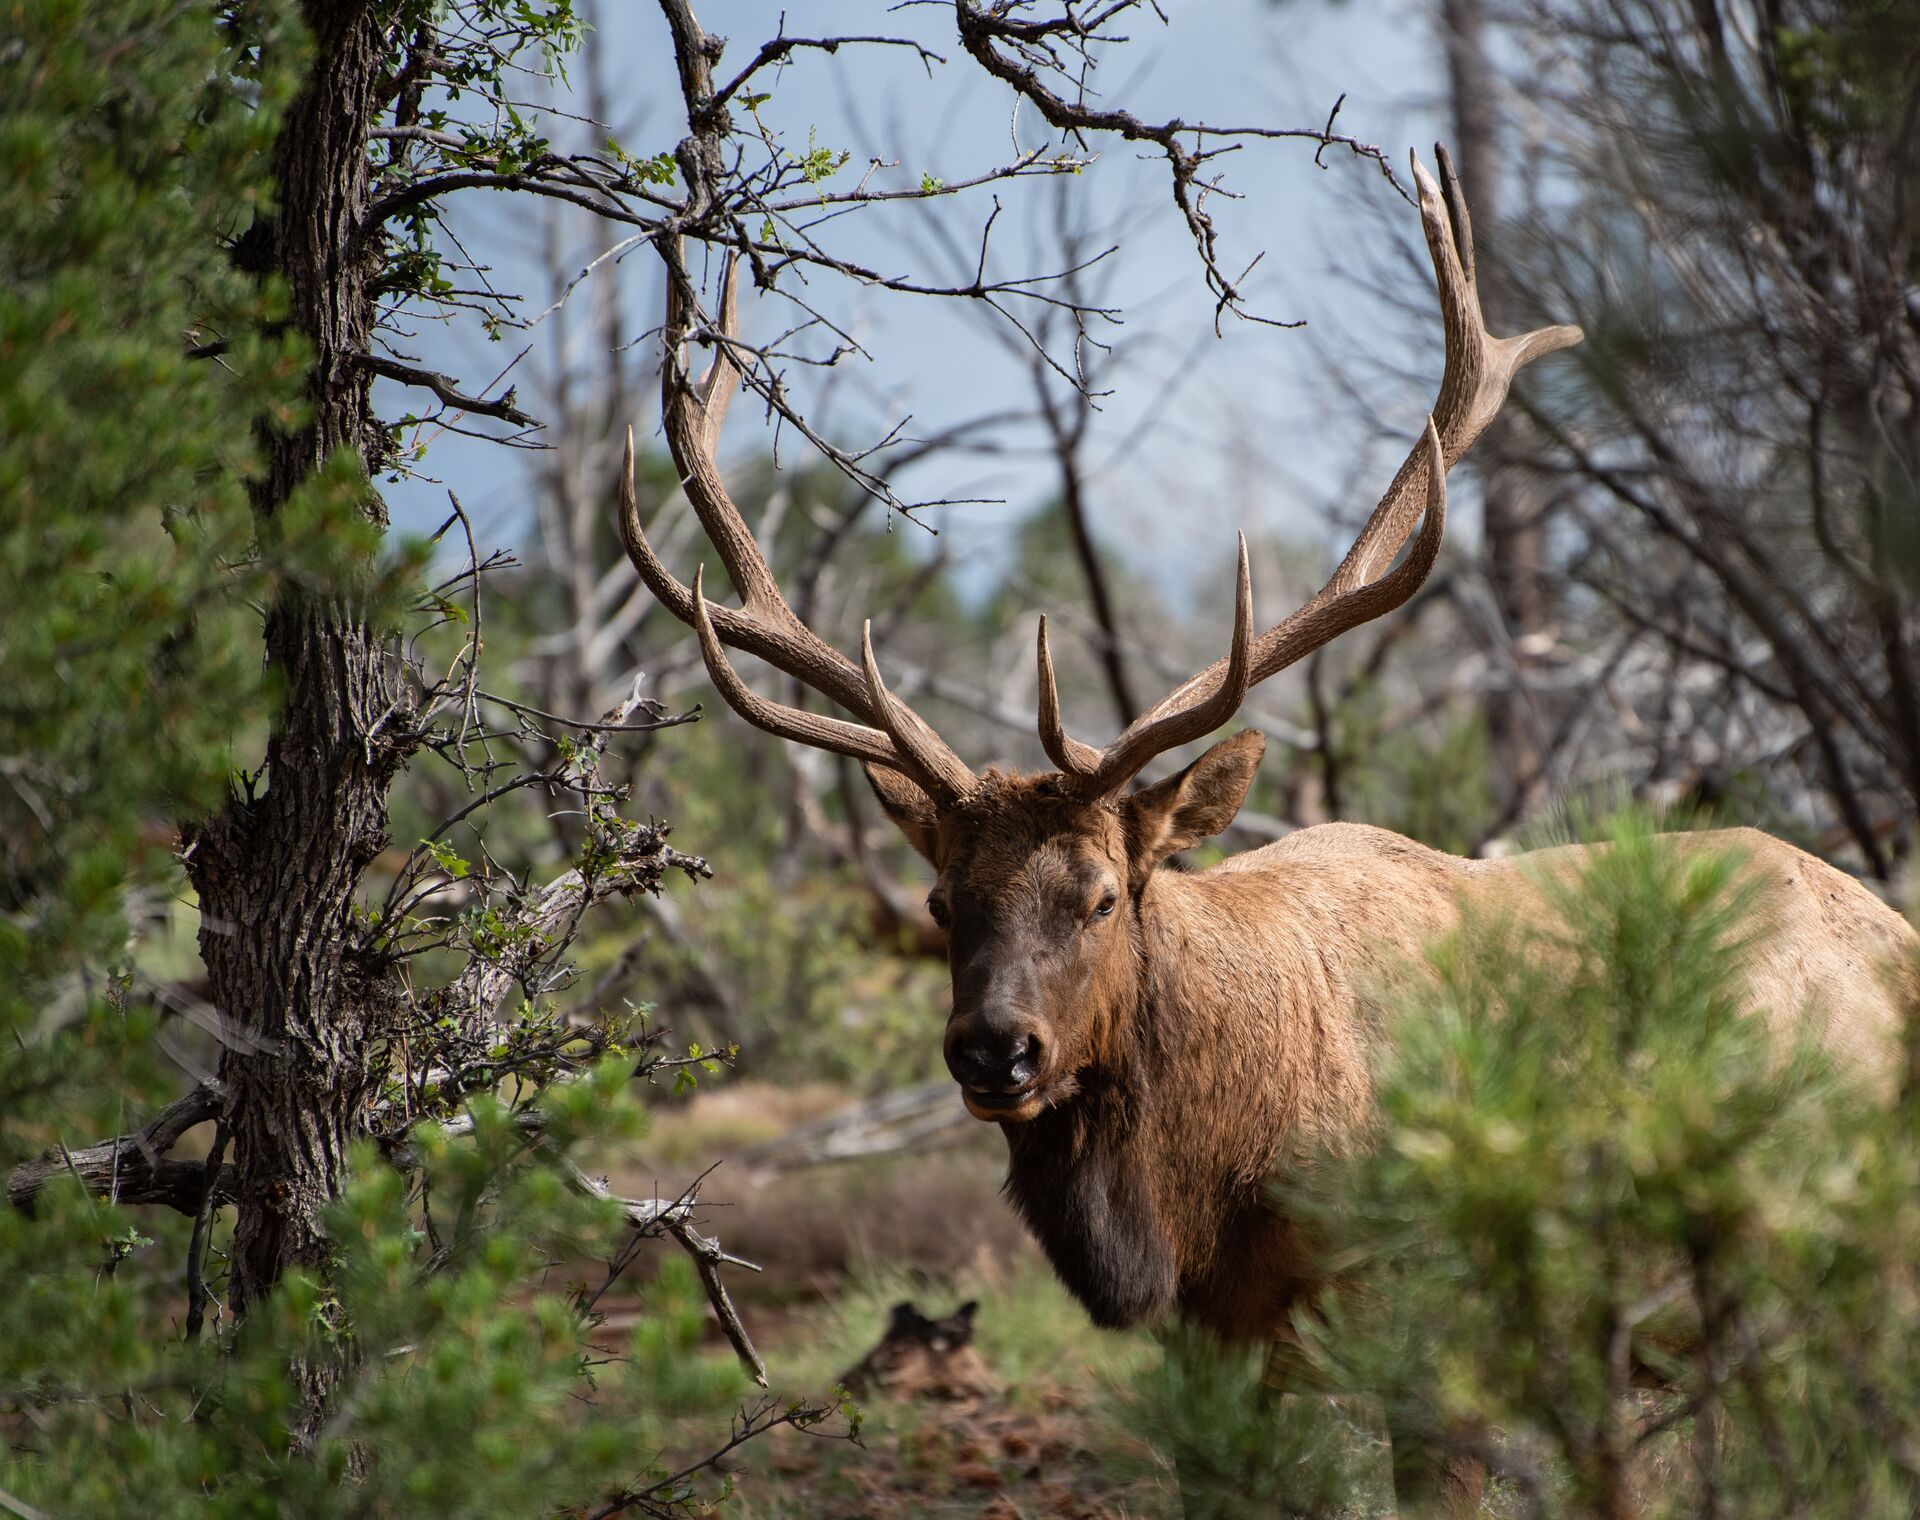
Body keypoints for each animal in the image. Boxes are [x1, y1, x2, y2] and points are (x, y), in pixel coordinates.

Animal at [616, 149, 1920, 1514]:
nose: (993, 1049)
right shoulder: (1216, 1340)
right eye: (939, 898)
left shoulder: (1429, 1319)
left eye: (1103, 892)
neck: (1212, 1189)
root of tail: (1895, 930)